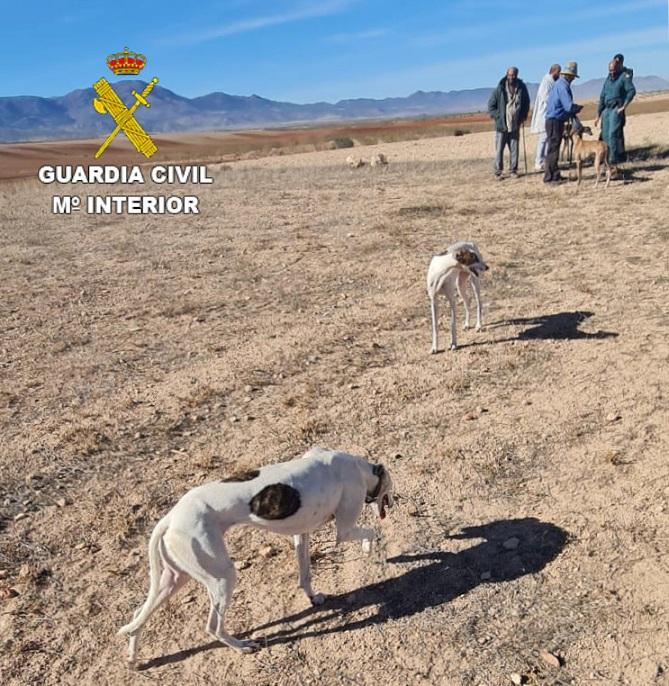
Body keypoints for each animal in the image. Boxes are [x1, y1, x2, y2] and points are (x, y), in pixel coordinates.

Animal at [118, 448, 394, 664]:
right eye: (390, 488)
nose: (392, 503)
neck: (358, 467)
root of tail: (169, 518)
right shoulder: (344, 530)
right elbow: (370, 532)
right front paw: (370, 550)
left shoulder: (301, 534)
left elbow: (305, 575)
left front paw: (313, 597)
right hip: (223, 577)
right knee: (212, 626)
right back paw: (242, 646)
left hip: (176, 578)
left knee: (138, 614)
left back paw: (132, 658)